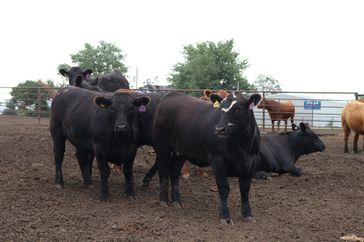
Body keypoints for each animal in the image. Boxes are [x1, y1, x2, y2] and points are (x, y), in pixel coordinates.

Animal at [152, 91, 260, 225]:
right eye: (220, 108)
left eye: (238, 109)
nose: (219, 129)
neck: (242, 147)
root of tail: (172, 94)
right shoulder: (218, 162)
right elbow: (224, 188)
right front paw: (225, 216)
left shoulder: (250, 164)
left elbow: (245, 190)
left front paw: (248, 214)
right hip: (162, 147)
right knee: (163, 172)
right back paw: (163, 200)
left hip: (180, 152)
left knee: (175, 174)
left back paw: (177, 201)